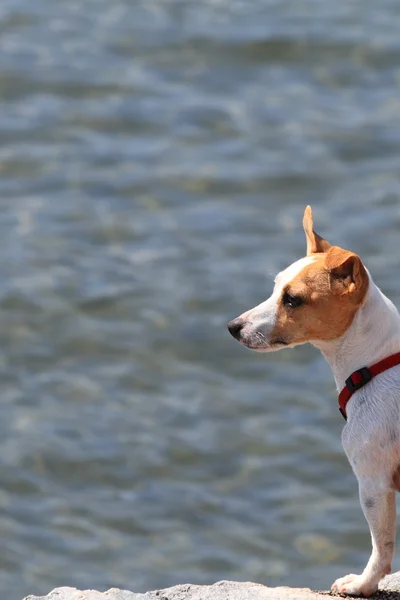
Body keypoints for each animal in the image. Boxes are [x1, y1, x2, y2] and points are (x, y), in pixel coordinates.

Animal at [227, 205, 400, 596]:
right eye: (276, 287)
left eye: (293, 299)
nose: (233, 326)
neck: (376, 362)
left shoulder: (373, 481)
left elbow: (380, 546)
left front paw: (363, 584)